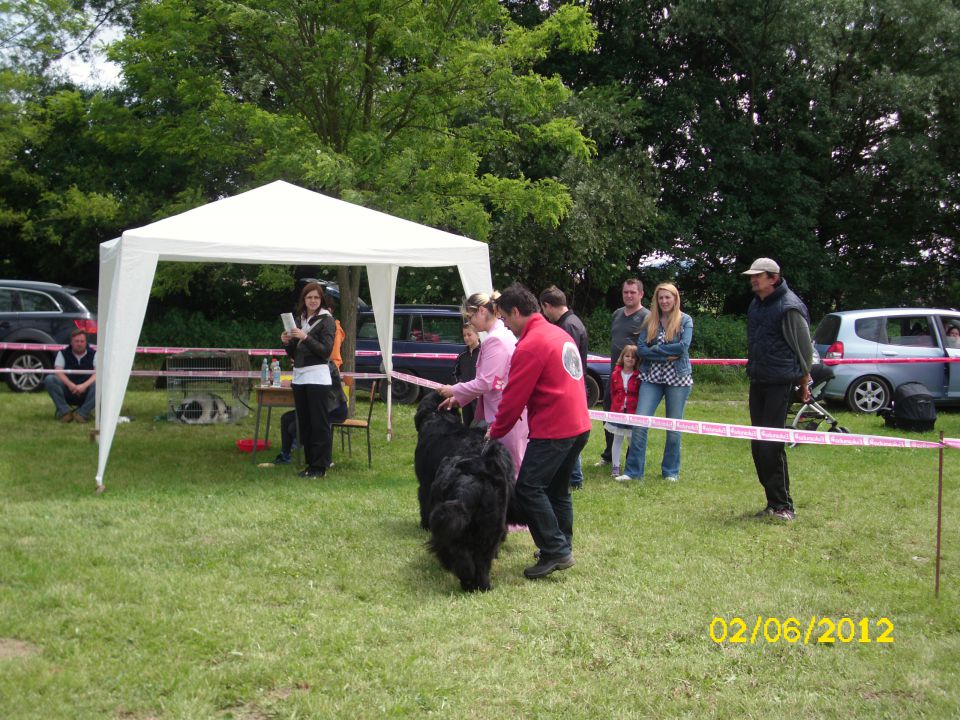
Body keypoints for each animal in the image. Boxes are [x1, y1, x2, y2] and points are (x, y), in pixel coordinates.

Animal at [430, 444, 516, 592]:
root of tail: (467, 486)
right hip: (488, 532)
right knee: (481, 563)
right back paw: (483, 586)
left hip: (460, 533)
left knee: (462, 558)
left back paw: (468, 582)